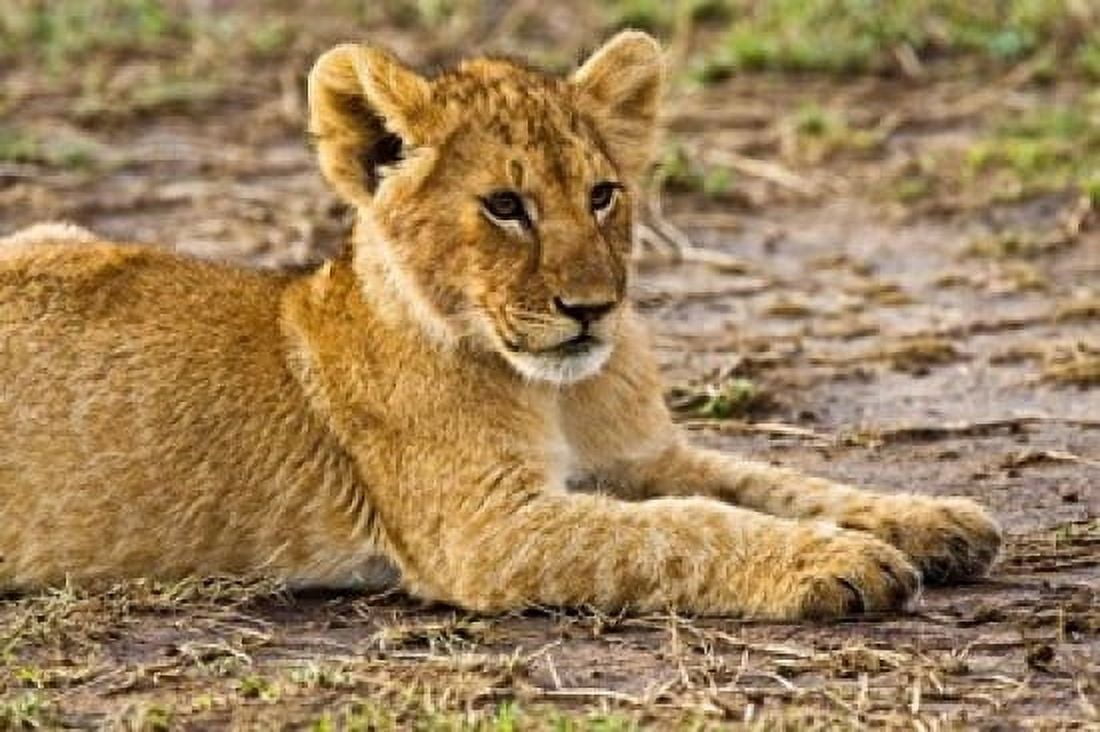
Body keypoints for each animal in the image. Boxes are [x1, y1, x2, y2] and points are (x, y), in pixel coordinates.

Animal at [0, 32, 1000, 619]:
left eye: (602, 194)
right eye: (506, 207)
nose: (591, 308)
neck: (560, 392)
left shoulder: (643, 455)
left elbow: (767, 481)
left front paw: (933, 520)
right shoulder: (489, 532)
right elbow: (684, 529)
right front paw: (843, 564)